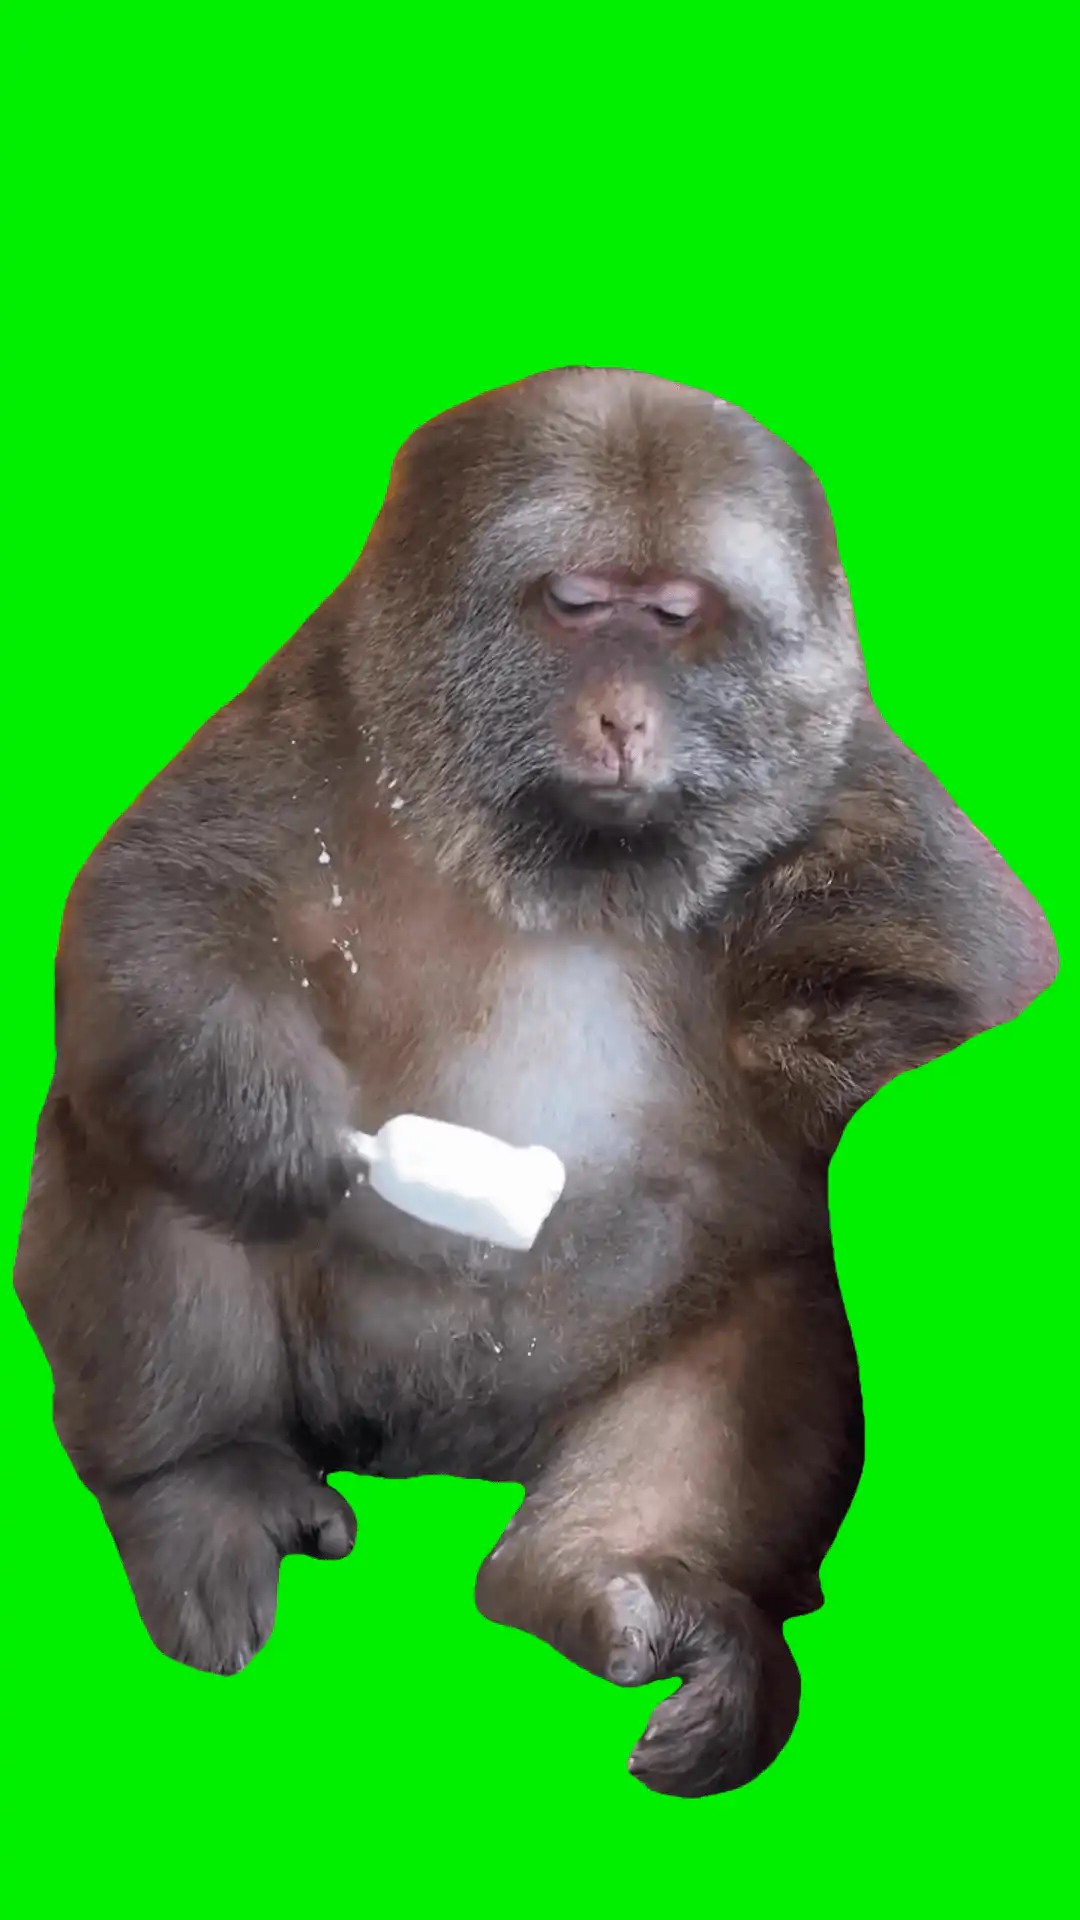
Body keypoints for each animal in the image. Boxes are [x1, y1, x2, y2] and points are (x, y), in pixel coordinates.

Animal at [13, 368, 1057, 1798]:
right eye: (573, 602)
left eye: (673, 616)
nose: (623, 717)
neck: (564, 863)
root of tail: (438, 1453)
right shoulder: (315, 720)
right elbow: (158, 913)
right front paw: (277, 1142)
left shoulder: (842, 774)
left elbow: (988, 966)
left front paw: (806, 1033)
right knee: (134, 1132)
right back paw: (202, 1479)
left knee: (755, 1334)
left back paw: (616, 1584)